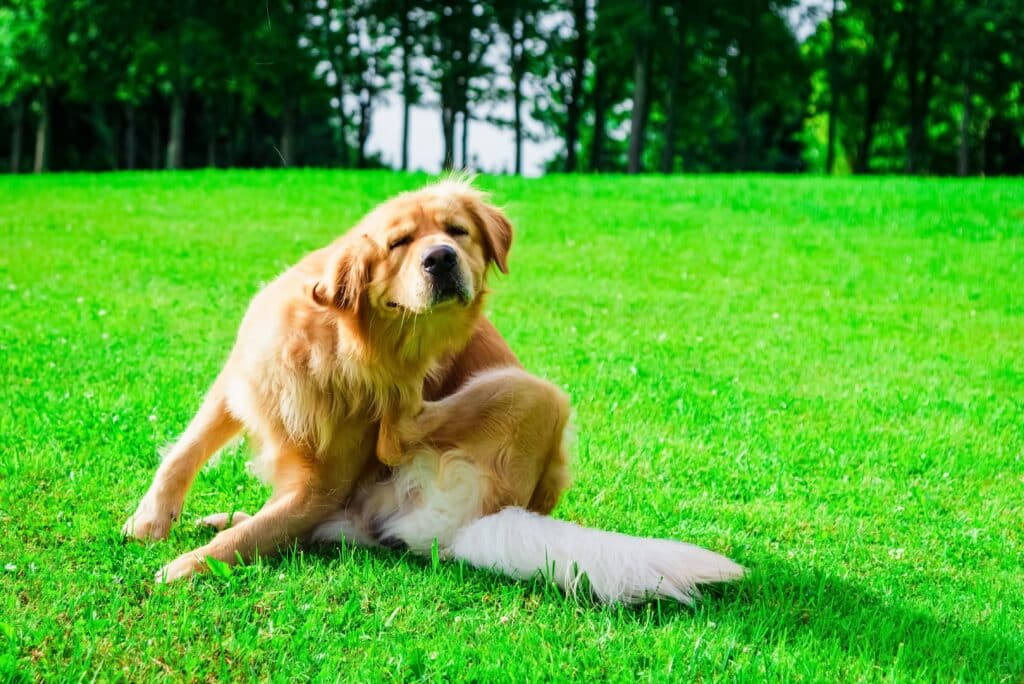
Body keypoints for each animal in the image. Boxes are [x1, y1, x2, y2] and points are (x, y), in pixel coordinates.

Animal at [125, 178, 745, 602]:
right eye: (399, 242)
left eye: (457, 232)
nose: (441, 260)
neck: (344, 337)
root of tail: (481, 522)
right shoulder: (242, 380)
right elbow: (185, 453)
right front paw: (151, 523)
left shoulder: (324, 484)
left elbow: (256, 534)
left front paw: (186, 568)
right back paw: (223, 516)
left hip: (534, 393)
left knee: (394, 435)